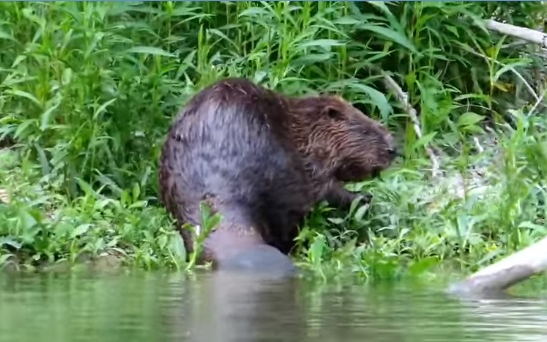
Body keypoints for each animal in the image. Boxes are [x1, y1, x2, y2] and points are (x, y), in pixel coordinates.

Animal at [158, 77, 398, 272]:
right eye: (367, 130)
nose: (393, 149)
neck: (304, 129)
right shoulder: (312, 164)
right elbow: (328, 188)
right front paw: (363, 197)